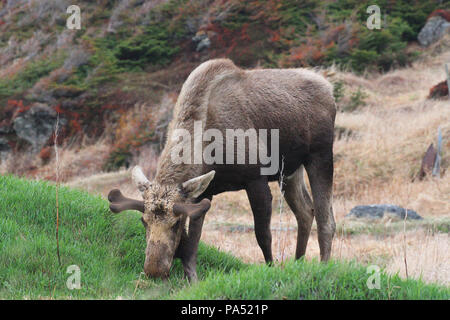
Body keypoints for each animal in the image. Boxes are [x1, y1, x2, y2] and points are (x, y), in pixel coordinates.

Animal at [107, 58, 336, 282]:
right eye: (143, 221)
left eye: (176, 223)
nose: (154, 270)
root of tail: (330, 90)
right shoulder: (204, 193)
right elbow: (191, 248)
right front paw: (192, 282)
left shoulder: (255, 179)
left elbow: (263, 235)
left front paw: (272, 270)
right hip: (290, 170)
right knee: (305, 211)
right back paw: (298, 263)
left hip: (320, 155)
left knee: (326, 220)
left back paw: (324, 267)